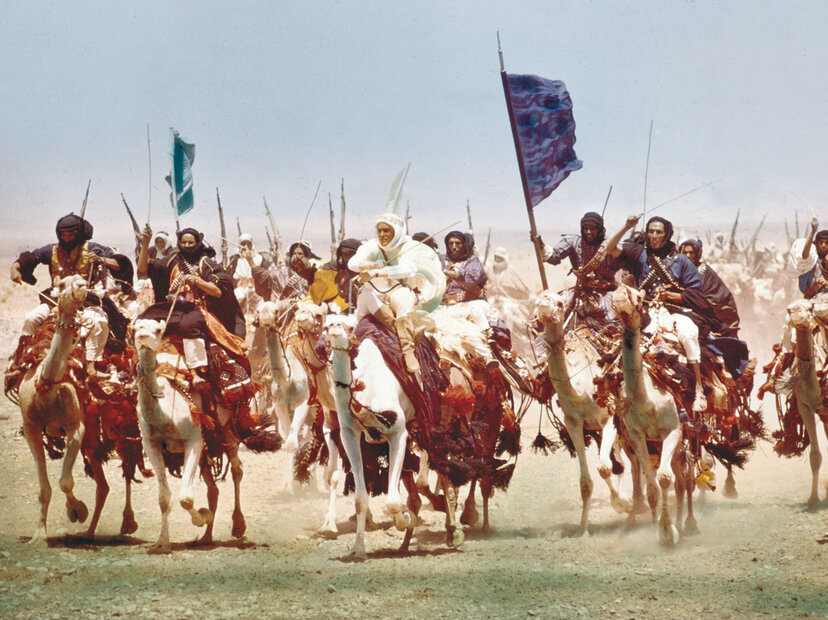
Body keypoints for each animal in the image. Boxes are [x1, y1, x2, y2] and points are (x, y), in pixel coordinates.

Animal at [134, 318, 247, 554]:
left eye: (158, 330)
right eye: (135, 328)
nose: (143, 338)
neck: (165, 412)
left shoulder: (193, 439)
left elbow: (185, 498)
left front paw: (202, 517)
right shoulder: (151, 443)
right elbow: (164, 498)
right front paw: (162, 543)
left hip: (225, 427)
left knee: (237, 470)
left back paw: (238, 525)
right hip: (208, 446)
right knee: (213, 489)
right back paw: (206, 537)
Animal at [534, 289, 639, 535]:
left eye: (559, 303)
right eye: (537, 301)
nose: (543, 310)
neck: (580, 389)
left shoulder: (609, 418)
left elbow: (604, 467)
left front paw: (622, 503)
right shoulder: (573, 423)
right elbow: (586, 481)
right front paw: (583, 528)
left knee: (630, 459)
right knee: (627, 460)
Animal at [611, 284, 695, 544]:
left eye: (638, 296)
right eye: (613, 295)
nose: (621, 296)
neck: (645, 400)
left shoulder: (673, 430)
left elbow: (665, 479)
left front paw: (667, 531)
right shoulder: (637, 437)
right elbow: (652, 488)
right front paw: (659, 526)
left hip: (682, 444)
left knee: (683, 482)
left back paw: (688, 524)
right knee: (677, 482)